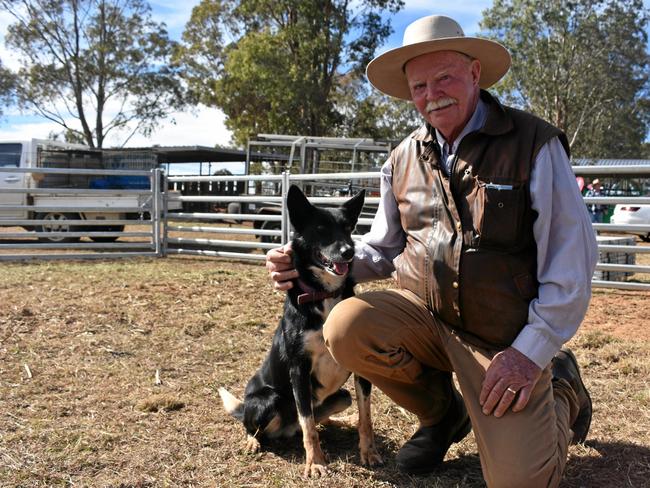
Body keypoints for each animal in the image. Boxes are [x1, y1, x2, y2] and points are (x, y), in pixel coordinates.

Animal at [219, 184, 380, 476]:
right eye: (320, 229)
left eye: (348, 228)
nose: (349, 251)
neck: (324, 294)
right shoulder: (299, 369)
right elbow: (308, 425)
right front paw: (315, 462)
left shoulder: (360, 369)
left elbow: (366, 416)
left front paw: (369, 452)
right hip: (268, 400)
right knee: (256, 427)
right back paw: (252, 441)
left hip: (342, 395)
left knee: (323, 417)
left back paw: (344, 421)